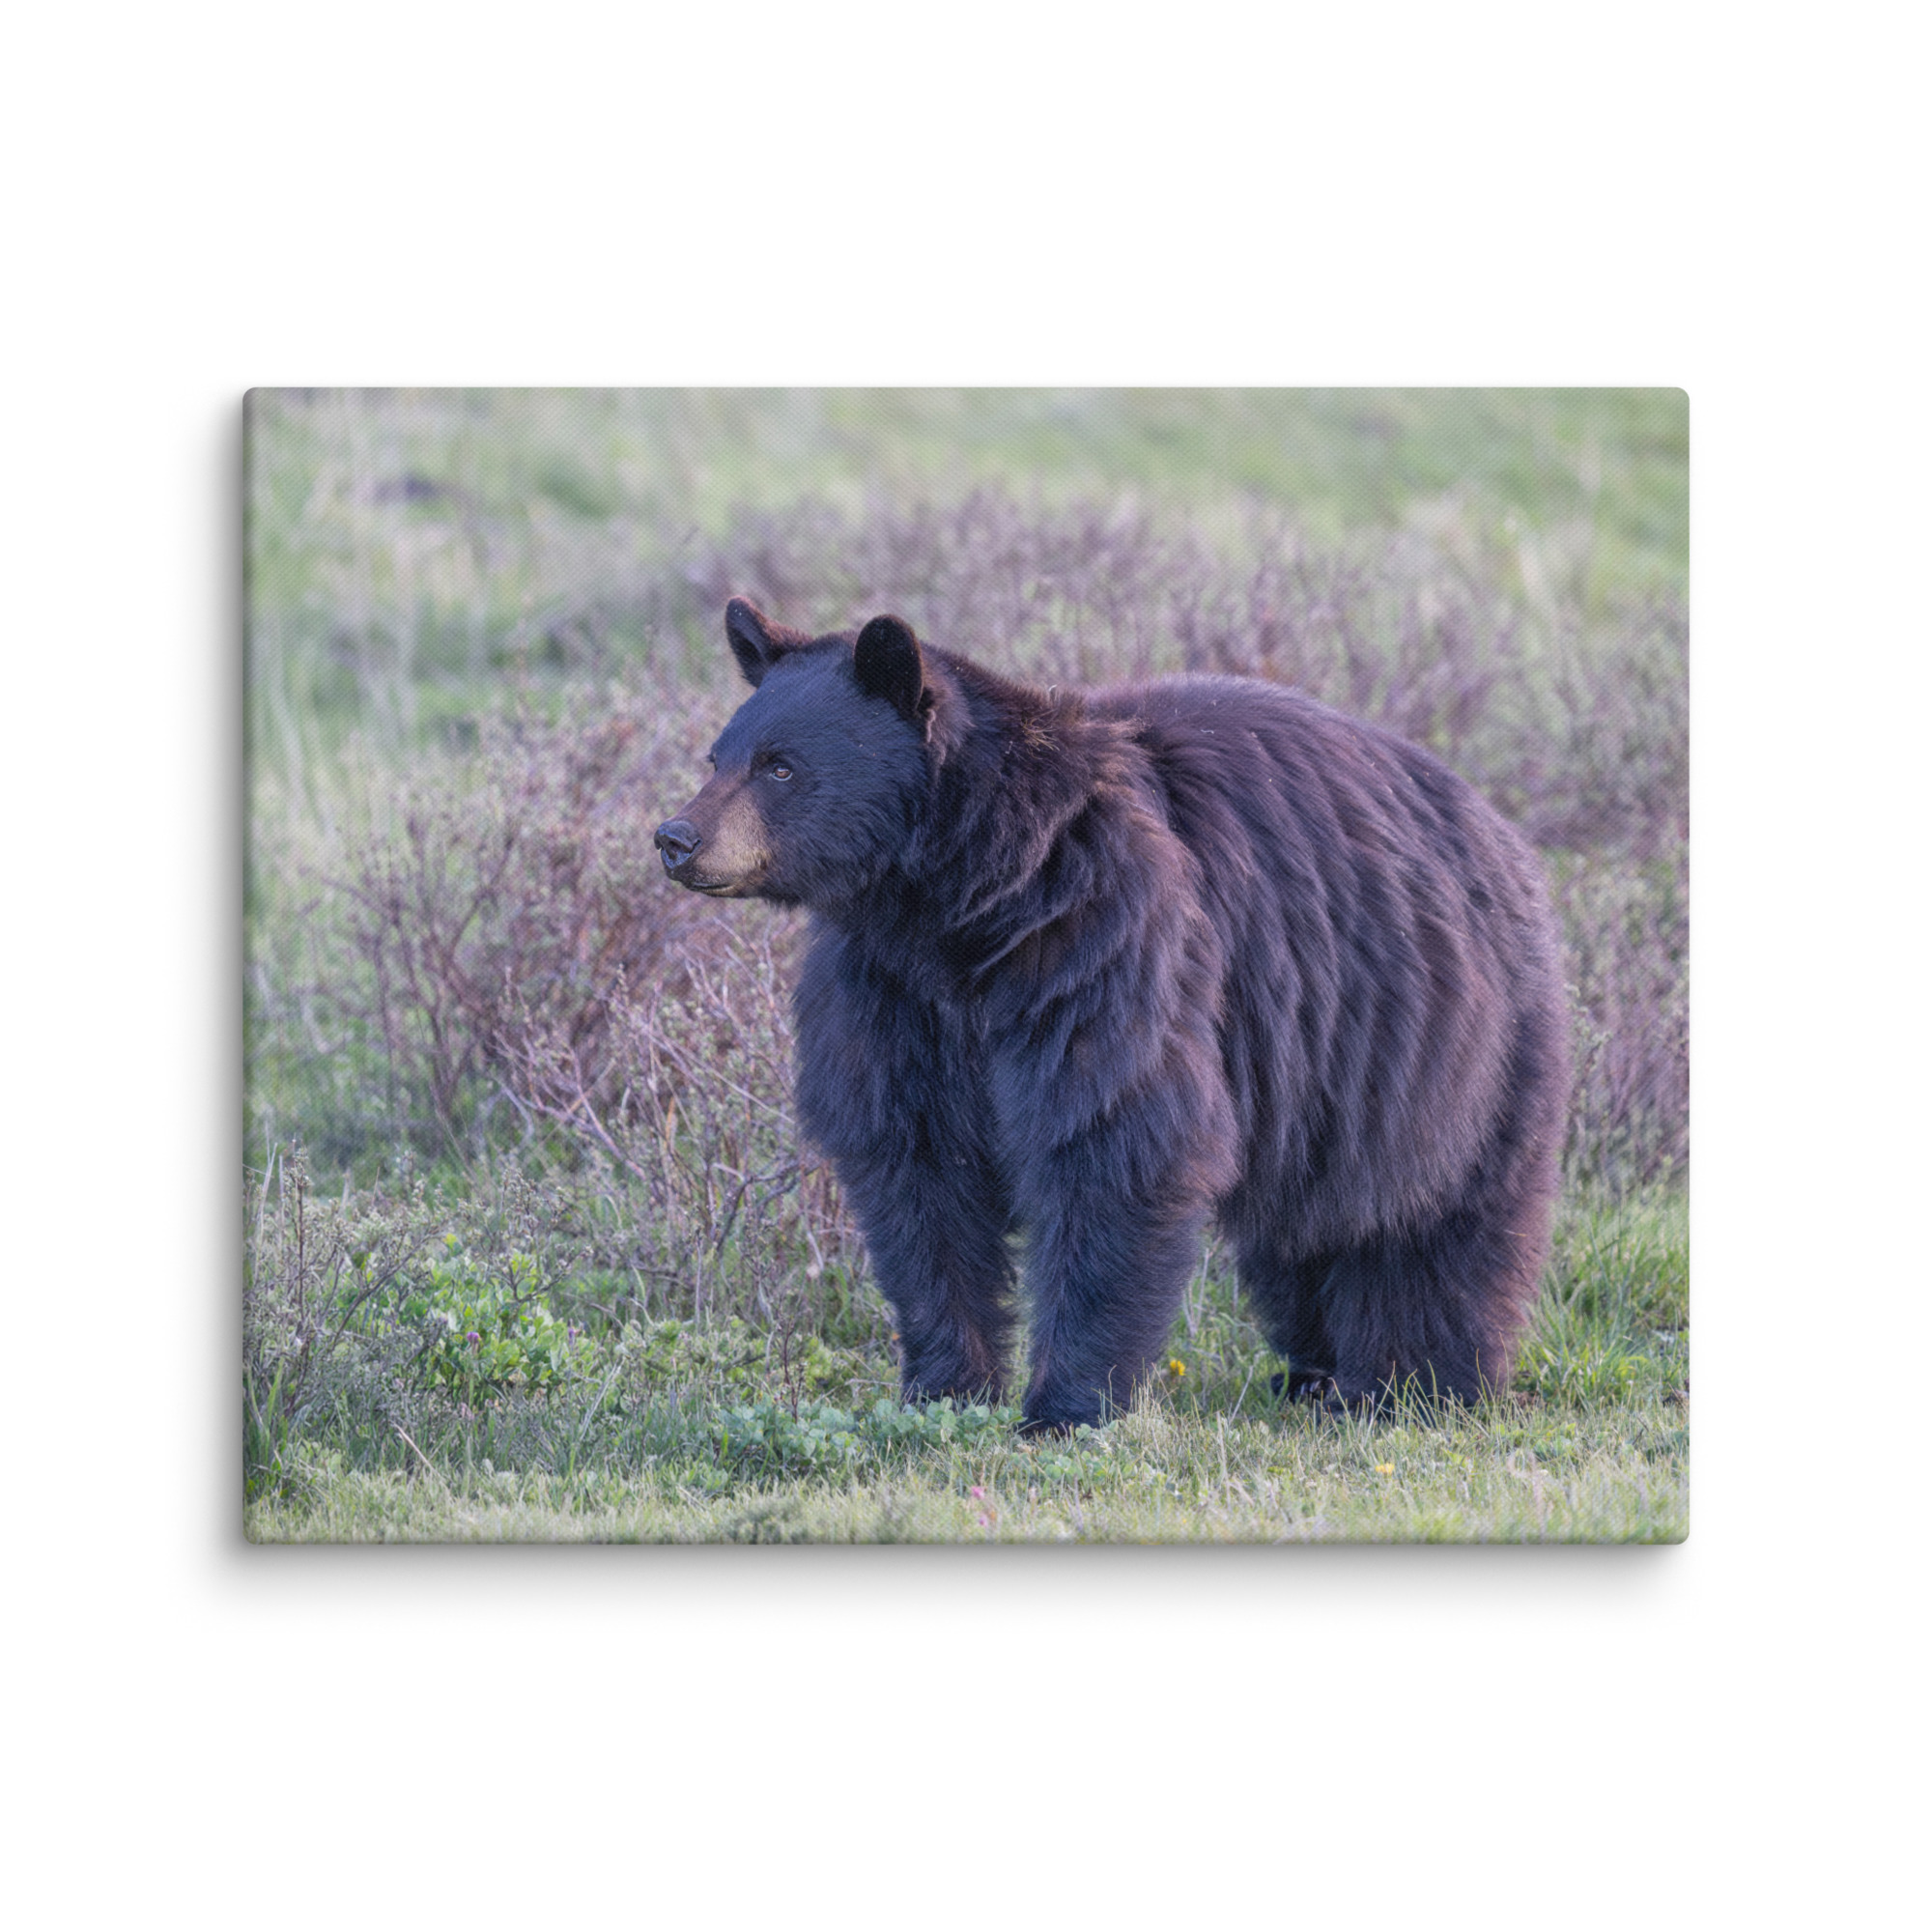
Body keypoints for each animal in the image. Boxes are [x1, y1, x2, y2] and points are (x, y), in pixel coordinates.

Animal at [655, 597, 1571, 1433]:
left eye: (779, 766)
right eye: (718, 755)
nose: (676, 837)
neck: (961, 902)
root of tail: (1498, 828)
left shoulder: (1102, 940)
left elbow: (1112, 1139)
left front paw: (1064, 1407)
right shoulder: (890, 994)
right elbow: (916, 1171)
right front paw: (944, 1388)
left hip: (1444, 1041)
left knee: (1435, 1221)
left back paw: (1415, 1383)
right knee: (1305, 1231)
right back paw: (1314, 1373)